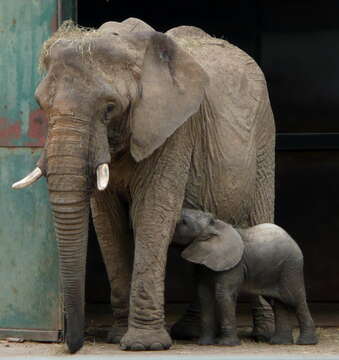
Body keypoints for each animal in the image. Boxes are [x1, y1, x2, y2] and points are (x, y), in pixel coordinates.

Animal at [12, 18, 276, 352]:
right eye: (42, 106)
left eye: (109, 108)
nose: (73, 344)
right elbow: (108, 223)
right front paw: (117, 337)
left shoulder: (174, 129)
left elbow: (151, 212)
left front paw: (143, 345)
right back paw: (189, 332)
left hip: (265, 133)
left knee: (260, 220)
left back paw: (266, 334)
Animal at [175, 208, 318, 346]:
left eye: (183, 222)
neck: (214, 227)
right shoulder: (203, 265)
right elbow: (204, 295)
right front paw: (204, 344)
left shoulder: (234, 265)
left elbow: (223, 294)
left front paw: (226, 344)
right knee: (278, 302)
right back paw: (280, 343)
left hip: (291, 267)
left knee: (295, 299)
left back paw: (306, 343)